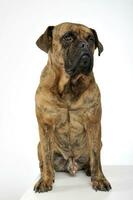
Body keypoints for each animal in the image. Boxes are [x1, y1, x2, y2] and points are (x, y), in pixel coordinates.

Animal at [33, 21, 111, 192]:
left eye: (91, 39)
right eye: (67, 37)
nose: (84, 45)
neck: (69, 86)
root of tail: (71, 164)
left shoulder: (93, 123)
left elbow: (96, 156)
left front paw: (99, 179)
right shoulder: (45, 126)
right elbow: (47, 156)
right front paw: (45, 180)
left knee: (92, 159)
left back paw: (88, 170)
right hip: (38, 145)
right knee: (44, 161)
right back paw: (48, 174)